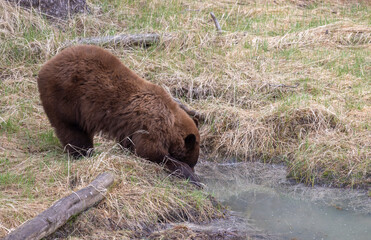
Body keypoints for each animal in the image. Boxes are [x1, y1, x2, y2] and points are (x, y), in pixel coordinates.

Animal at [37, 45, 201, 184]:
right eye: (192, 160)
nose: (193, 168)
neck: (171, 121)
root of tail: (45, 67)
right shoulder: (151, 126)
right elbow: (150, 151)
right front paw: (188, 173)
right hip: (66, 99)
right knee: (72, 130)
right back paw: (83, 153)